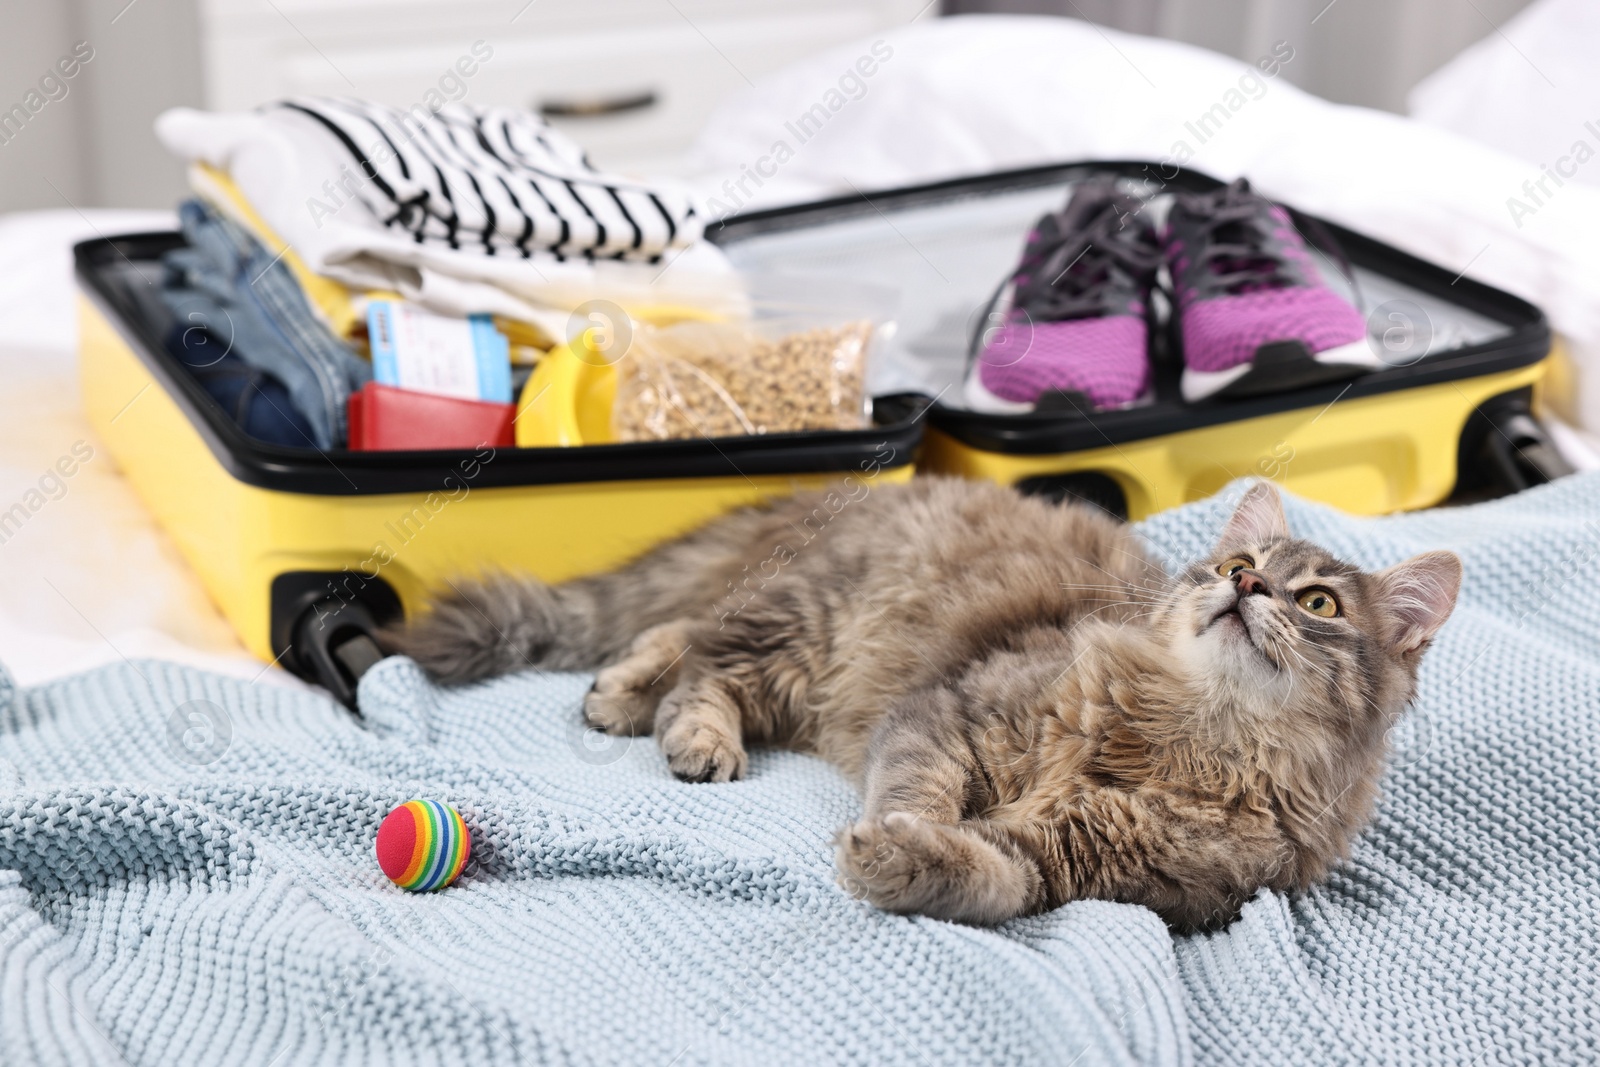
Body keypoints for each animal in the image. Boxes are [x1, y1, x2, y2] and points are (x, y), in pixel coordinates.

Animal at [380, 479, 1459, 927]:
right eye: (1237, 565)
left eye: (1317, 603)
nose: (1246, 588)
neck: (1191, 733)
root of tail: (863, 487)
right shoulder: (951, 715)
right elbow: (918, 790)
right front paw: (897, 830)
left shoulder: (1099, 865)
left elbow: (990, 875)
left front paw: (906, 864)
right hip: (811, 628)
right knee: (697, 652)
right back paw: (668, 720)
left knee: (687, 634)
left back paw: (629, 696)